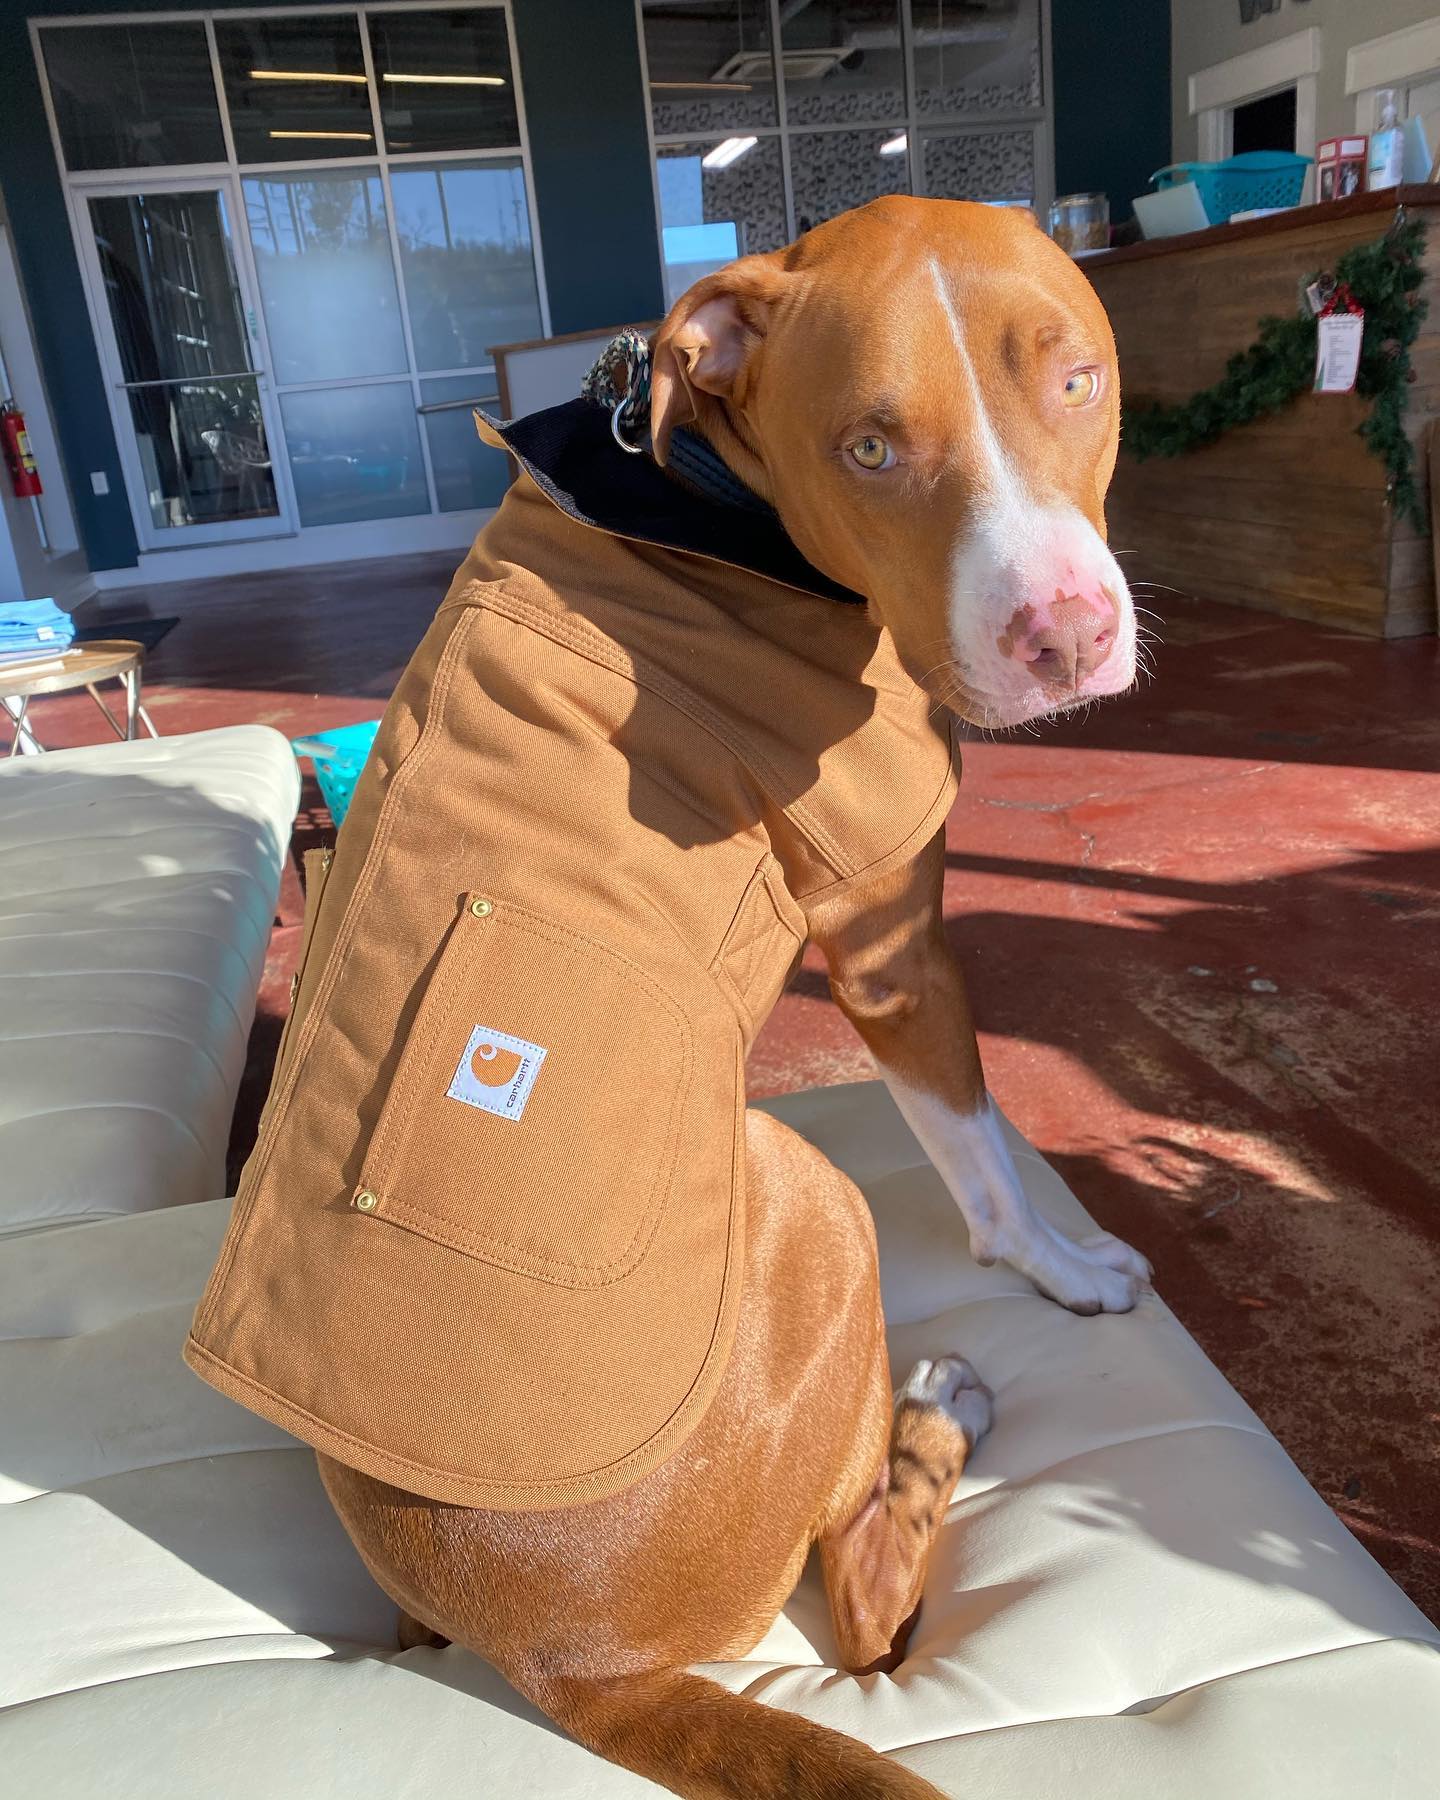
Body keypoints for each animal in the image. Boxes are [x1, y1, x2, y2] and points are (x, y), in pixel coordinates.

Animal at [311, 200, 1144, 1800]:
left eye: (1076, 381)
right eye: (870, 446)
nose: (1064, 637)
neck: (700, 488)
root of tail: (569, 1666)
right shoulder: (891, 940)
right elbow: (981, 1158)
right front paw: (1061, 1267)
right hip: (814, 1189)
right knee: (871, 1619)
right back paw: (938, 1425)